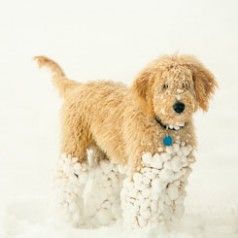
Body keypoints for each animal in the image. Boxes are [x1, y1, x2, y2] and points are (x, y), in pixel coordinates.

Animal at [35, 54, 218, 229]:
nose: (179, 106)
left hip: (107, 159)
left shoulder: (175, 177)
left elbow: (170, 208)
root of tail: (78, 86)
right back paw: (67, 220)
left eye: (185, 84)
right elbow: (140, 209)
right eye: (164, 86)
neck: (165, 128)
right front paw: (143, 231)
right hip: (74, 147)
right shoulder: (143, 174)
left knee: (102, 185)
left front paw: (170, 230)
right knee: (65, 180)